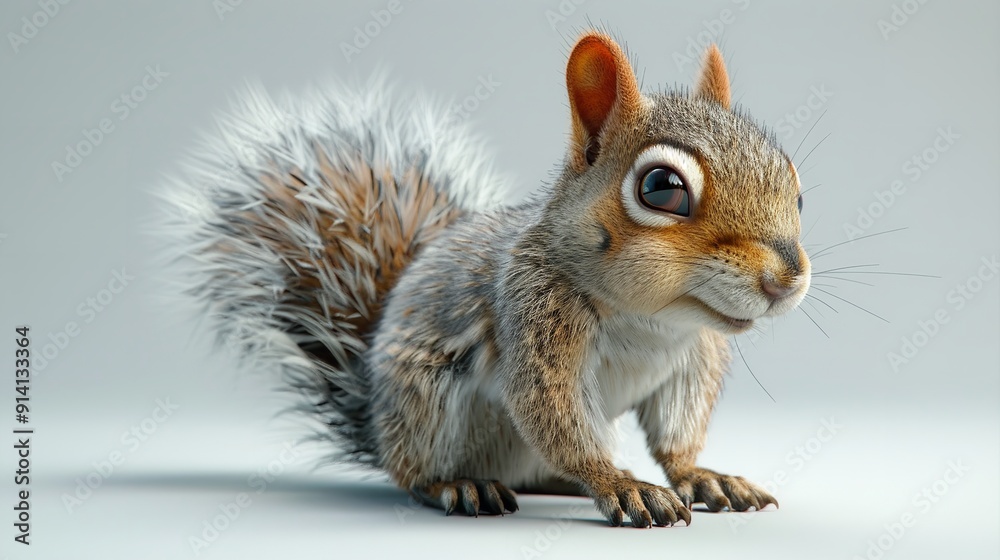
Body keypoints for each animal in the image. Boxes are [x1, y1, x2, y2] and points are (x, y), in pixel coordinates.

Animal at [161, 31, 810, 528]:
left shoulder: (694, 355)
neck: (655, 320)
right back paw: (462, 485)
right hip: (427, 405)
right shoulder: (536, 314)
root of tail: (374, 413)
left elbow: (678, 431)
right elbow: (552, 411)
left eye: (796, 187)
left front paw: (703, 476)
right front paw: (620, 485)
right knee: (417, 472)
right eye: (662, 188)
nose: (787, 279)